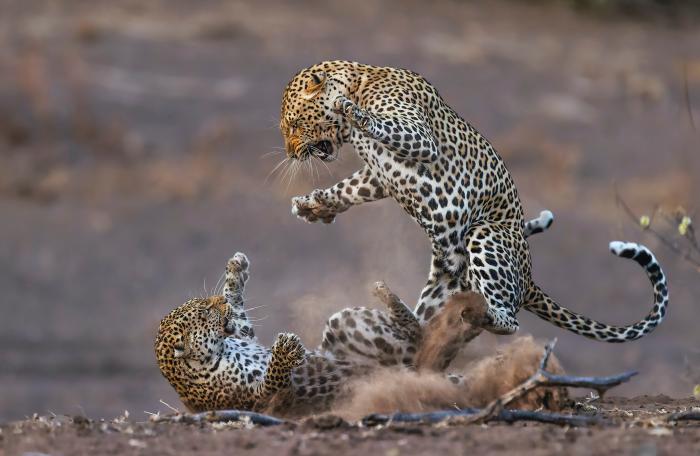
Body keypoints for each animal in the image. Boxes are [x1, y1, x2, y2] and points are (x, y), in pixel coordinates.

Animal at [278, 60, 668, 354]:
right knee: (423, 331)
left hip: (485, 234)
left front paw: (349, 109)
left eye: (294, 125)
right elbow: (350, 188)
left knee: (510, 321)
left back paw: (484, 316)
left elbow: (377, 124)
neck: (361, 80)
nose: (291, 154)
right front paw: (315, 205)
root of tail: (528, 279)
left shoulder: (418, 138)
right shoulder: (378, 175)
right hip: (444, 285)